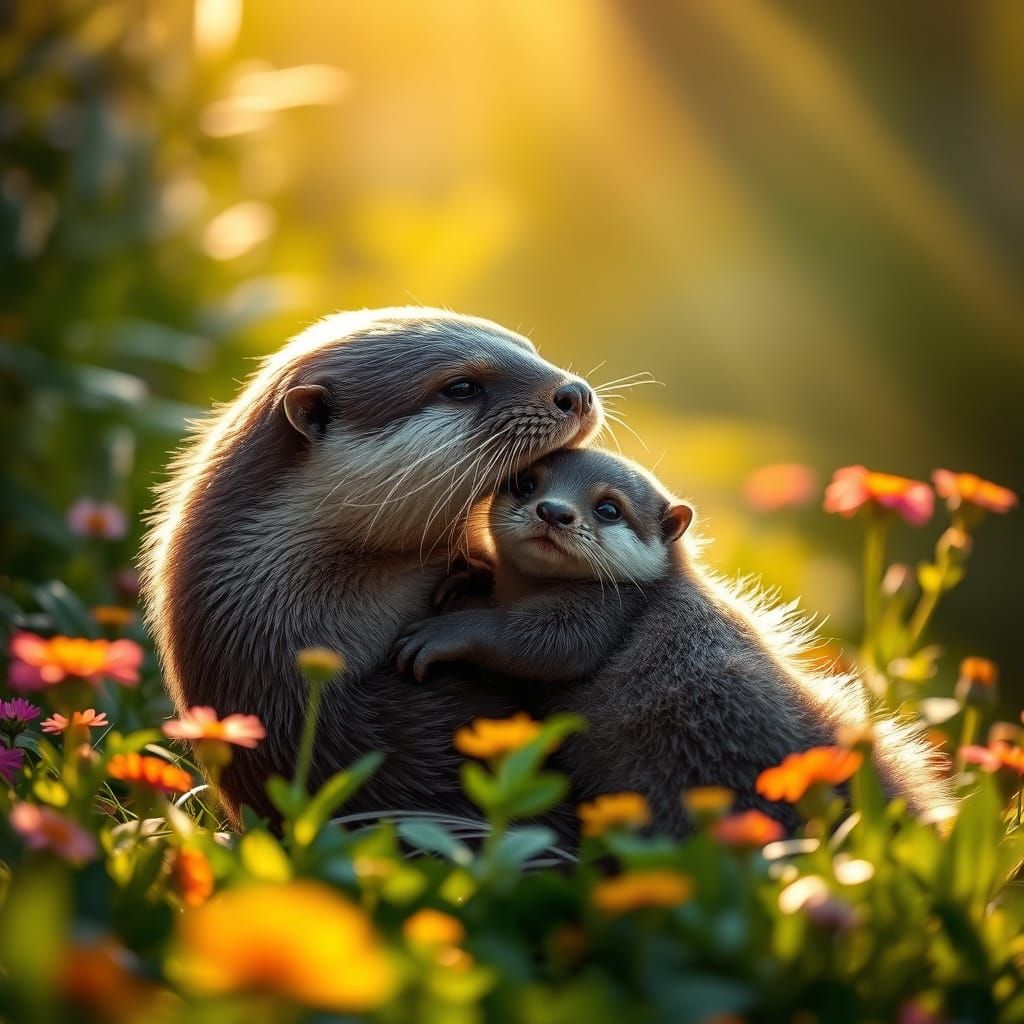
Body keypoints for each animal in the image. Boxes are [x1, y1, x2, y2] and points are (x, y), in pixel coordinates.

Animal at [395, 448, 951, 835]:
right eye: (525, 482)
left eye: (608, 508)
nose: (553, 511)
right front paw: (469, 574)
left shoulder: (606, 611)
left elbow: (544, 645)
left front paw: (449, 630)